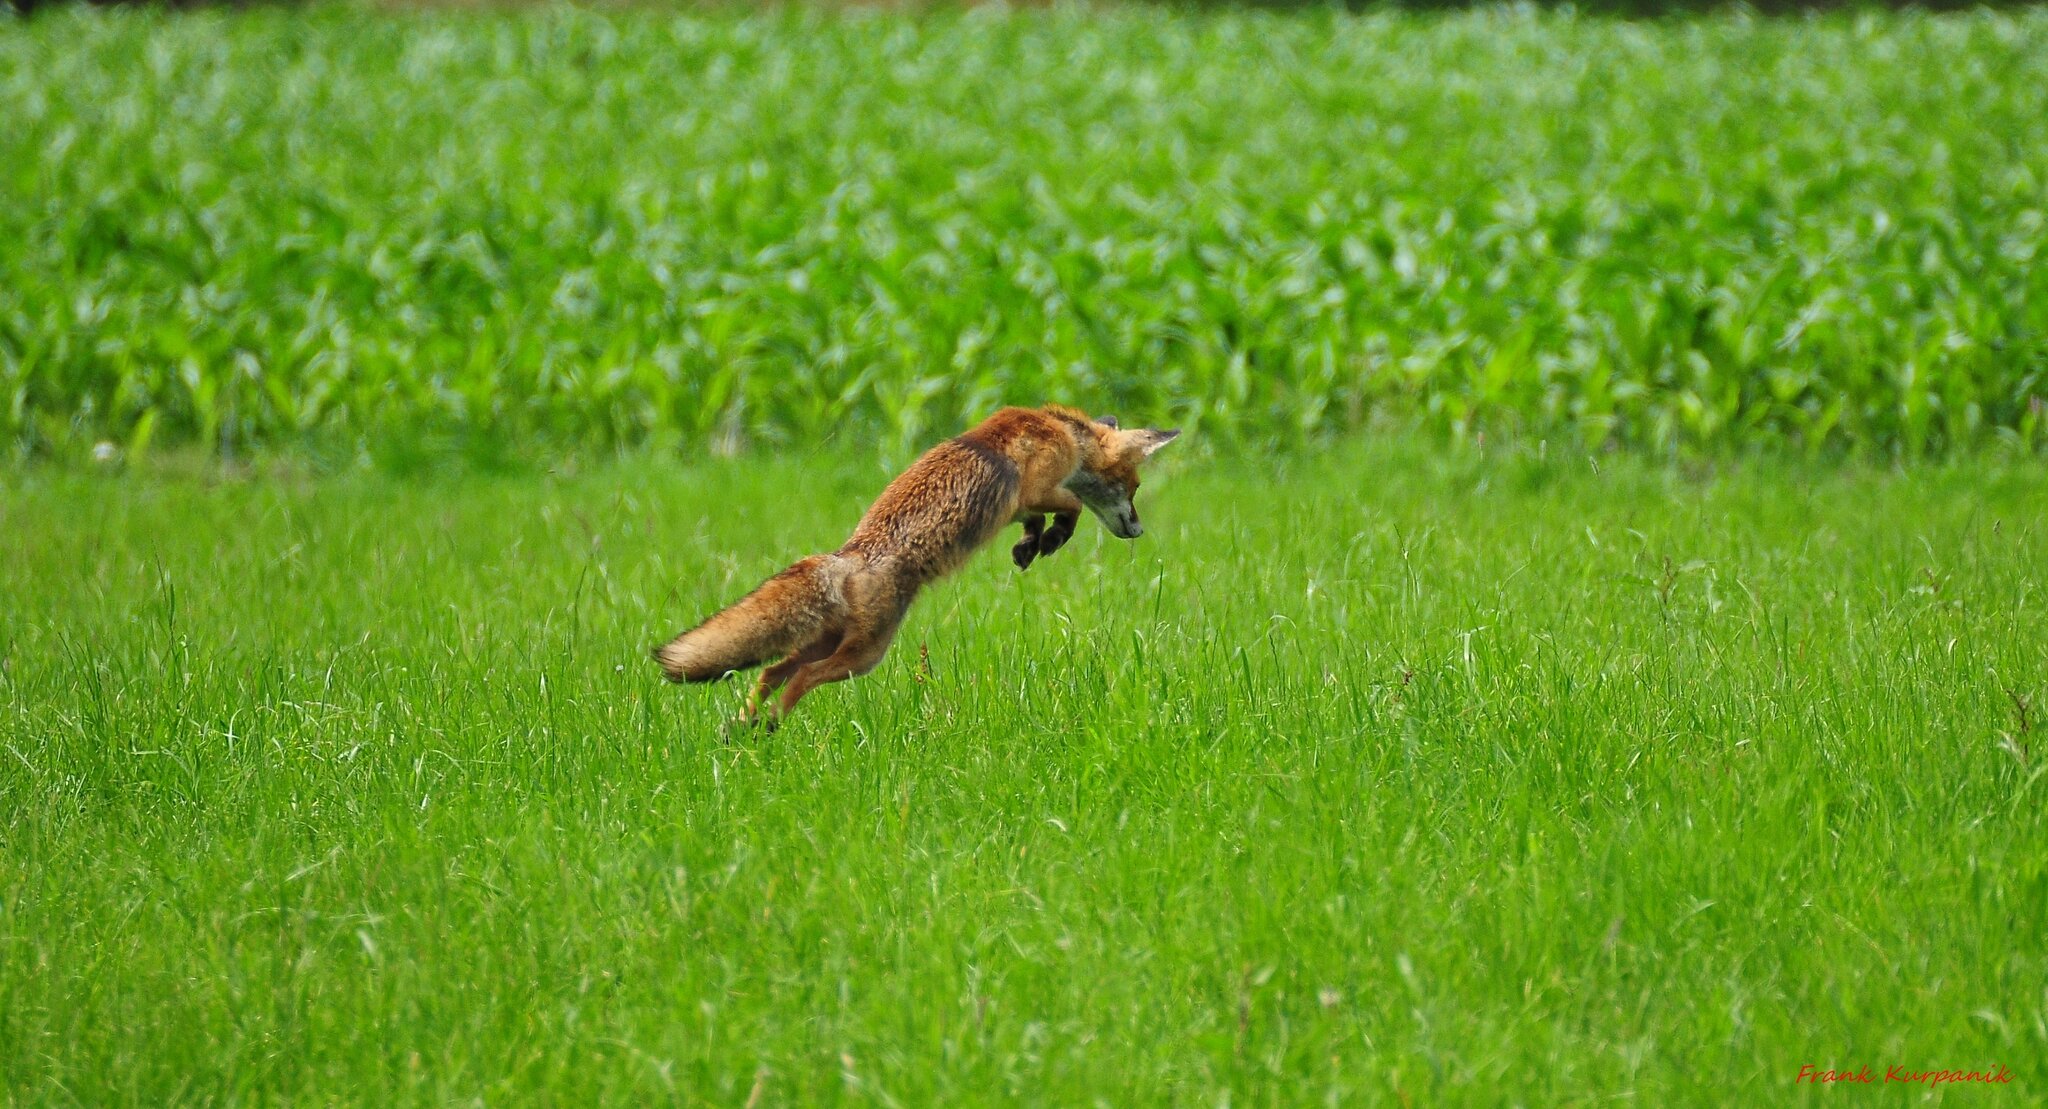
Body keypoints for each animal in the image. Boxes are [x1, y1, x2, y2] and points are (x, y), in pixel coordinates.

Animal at [654, 404, 1180, 724]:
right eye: (1134, 486)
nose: (1138, 532)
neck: (1061, 429)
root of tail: (848, 558)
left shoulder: (1021, 504)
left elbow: (1038, 520)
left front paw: (1031, 547)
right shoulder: (1035, 487)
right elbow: (1069, 505)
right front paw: (1051, 538)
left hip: (833, 643)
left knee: (769, 673)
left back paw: (743, 728)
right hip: (864, 656)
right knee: (799, 678)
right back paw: (769, 726)